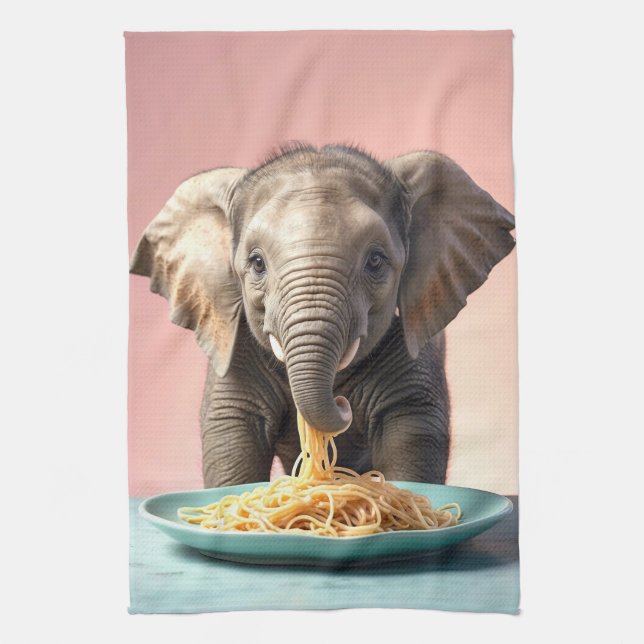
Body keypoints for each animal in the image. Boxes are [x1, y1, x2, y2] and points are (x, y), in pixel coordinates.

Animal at [130, 142, 515, 487]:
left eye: (376, 261)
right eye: (257, 263)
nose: (343, 405)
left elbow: (414, 431)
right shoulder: (234, 353)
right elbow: (231, 436)